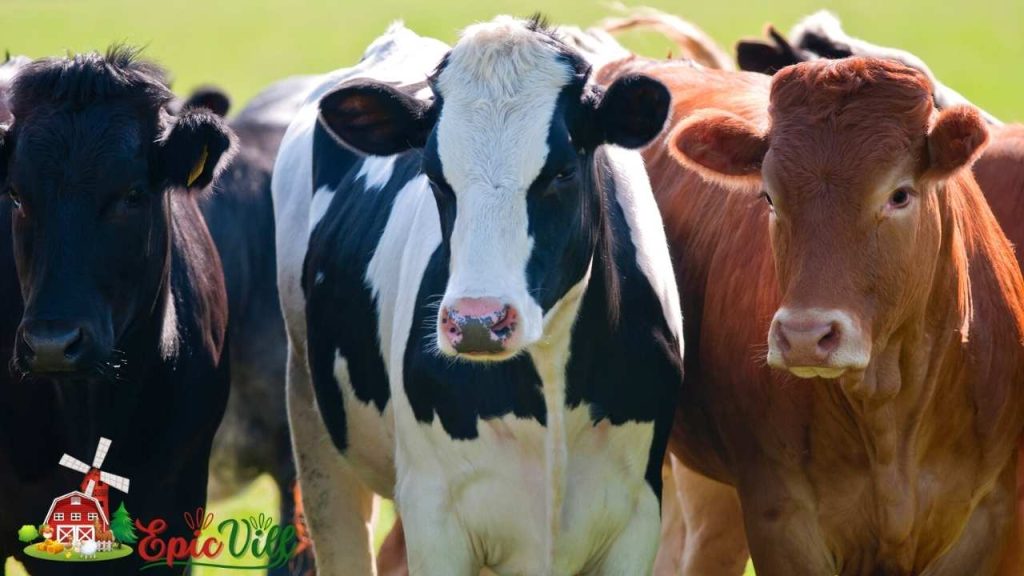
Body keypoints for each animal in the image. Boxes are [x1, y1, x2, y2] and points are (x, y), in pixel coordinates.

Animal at [272, 16, 683, 575]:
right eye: (434, 176)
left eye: (561, 172)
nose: (477, 322)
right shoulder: (434, 515)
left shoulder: (637, 515)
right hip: (314, 434)